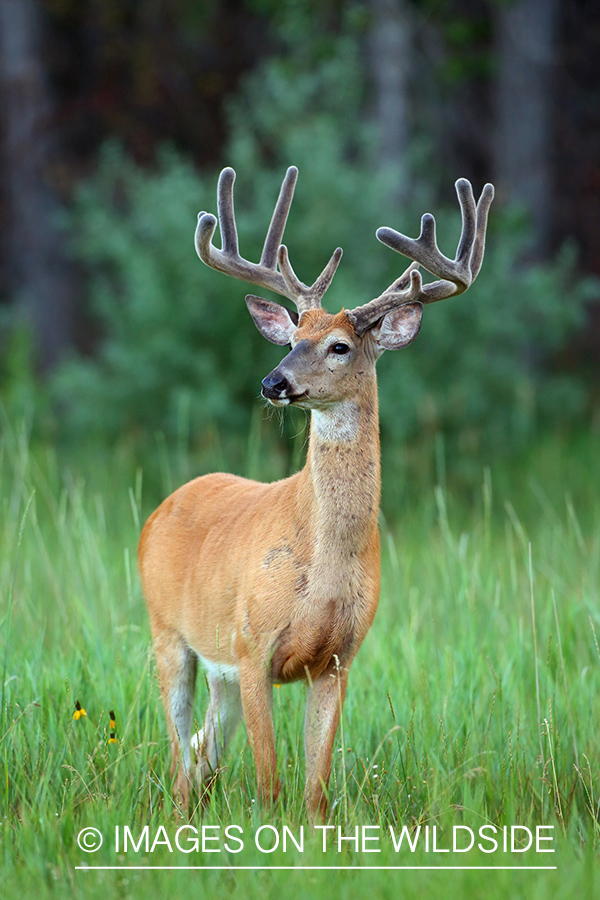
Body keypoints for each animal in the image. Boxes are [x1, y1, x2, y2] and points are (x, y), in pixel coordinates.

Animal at [138, 165, 494, 820]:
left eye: (340, 346)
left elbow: (315, 790)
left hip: (218, 669)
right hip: (168, 632)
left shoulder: (337, 659)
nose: (272, 382)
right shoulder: (251, 644)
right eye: (289, 340)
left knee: (200, 754)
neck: (322, 566)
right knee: (179, 754)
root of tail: (161, 508)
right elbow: (270, 784)